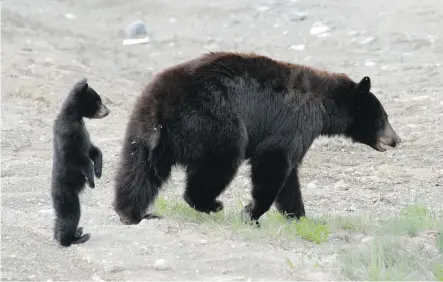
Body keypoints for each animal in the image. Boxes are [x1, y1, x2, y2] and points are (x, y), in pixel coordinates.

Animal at [51, 78, 110, 246]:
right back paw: (73, 239)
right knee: (71, 214)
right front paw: (91, 180)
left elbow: (93, 149)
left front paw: (99, 171)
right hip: (66, 194)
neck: (75, 117)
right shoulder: (67, 131)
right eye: (98, 101)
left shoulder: (84, 132)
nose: (108, 111)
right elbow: (73, 155)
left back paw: (74, 232)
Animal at [113, 51, 402, 226]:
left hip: (143, 127)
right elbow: (274, 159)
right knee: (220, 161)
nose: (396, 139)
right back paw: (210, 204)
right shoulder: (296, 121)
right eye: (384, 117)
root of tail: (163, 107)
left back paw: (132, 213)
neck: (325, 103)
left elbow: (290, 178)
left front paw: (299, 216)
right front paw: (251, 212)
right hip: (214, 121)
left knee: (138, 169)